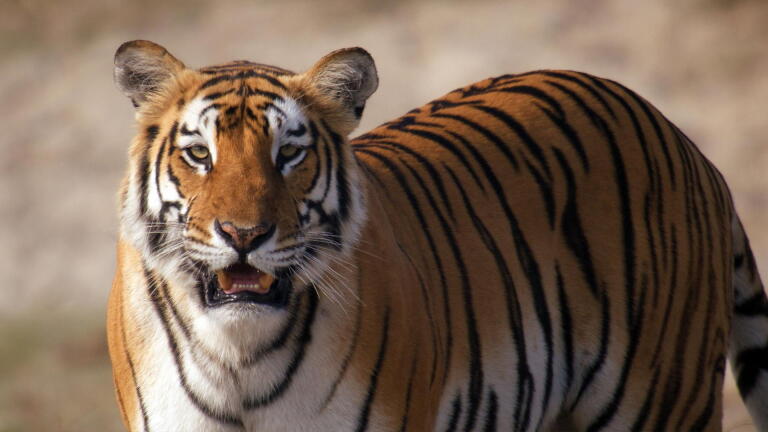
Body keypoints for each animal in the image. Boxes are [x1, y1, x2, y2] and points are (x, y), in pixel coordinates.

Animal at [107, 39, 768, 431]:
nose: (244, 234)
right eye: (199, 154)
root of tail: (683, 140)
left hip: (663, 401)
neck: (239, 356)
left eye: (289, 154)